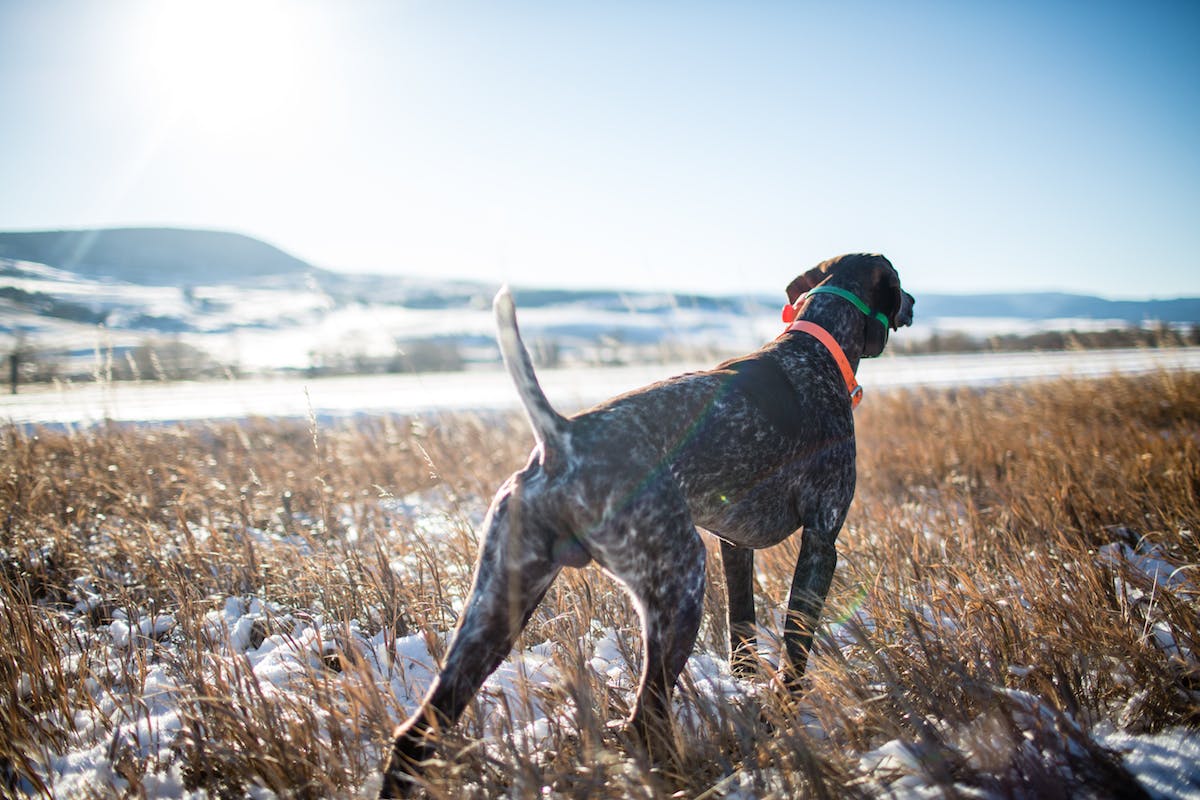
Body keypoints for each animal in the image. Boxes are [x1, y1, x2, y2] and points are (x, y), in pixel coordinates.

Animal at [379, 253, 912, 796]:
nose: (912, 303)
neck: (814, 346)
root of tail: (560, 441)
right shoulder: (822, 539)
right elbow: (798, 646)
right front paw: (784, 709)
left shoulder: (733, 543)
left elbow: (742, 627)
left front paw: (745, 686)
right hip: (680, 583)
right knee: (645, 717)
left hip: (495, 610)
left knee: (416, 734)